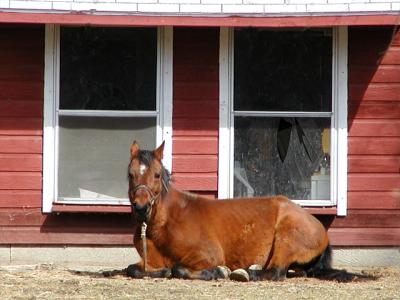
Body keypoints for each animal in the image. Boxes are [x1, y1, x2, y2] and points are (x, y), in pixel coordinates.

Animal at [127, 141, 332, 282]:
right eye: (130, 174)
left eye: (157, 174)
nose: (141, 207)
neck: (167, 222)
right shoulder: (150, 261)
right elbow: (133, 269)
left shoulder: (208, 255)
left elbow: (178, 269)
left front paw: (219, 270)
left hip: (286, 238)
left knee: (275, 271)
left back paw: (243, 272)